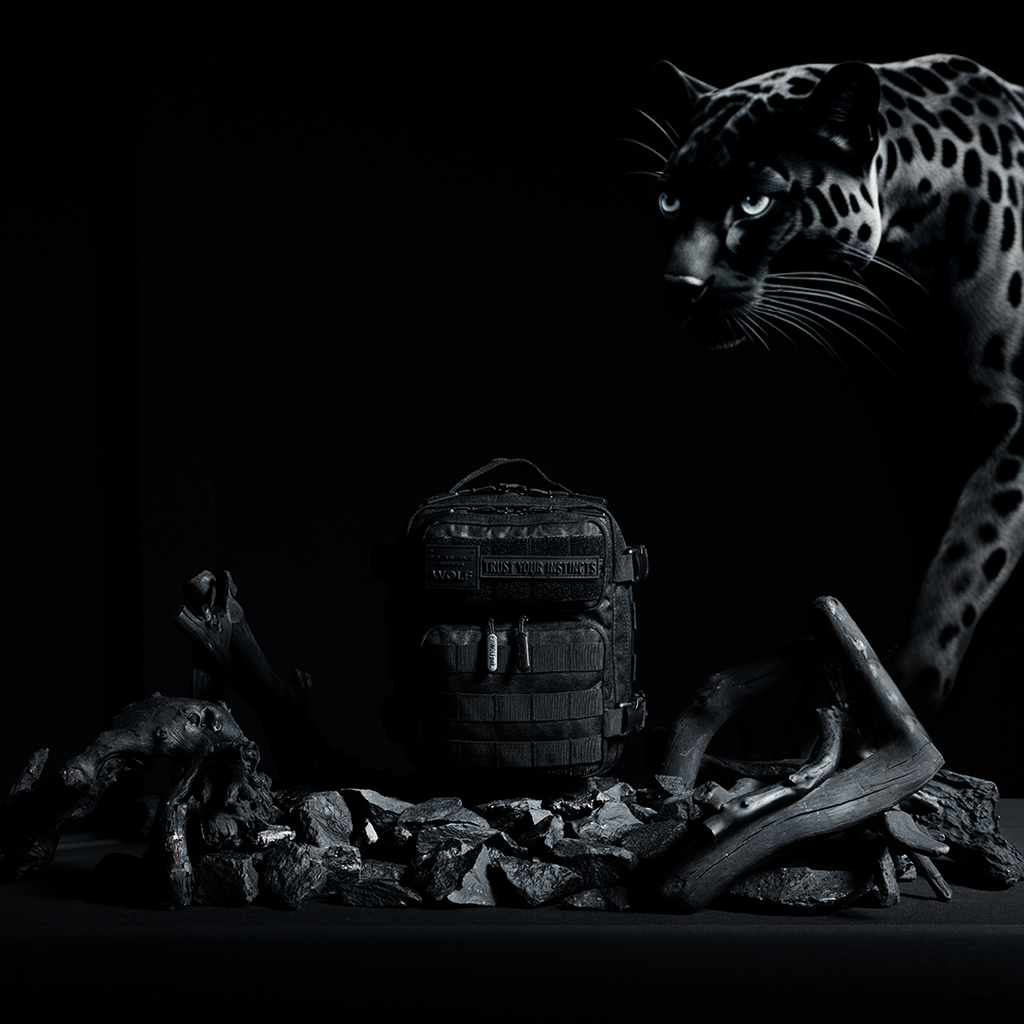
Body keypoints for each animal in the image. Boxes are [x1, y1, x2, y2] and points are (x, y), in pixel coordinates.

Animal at [631, 54, 1023, 720]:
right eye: (668, 199)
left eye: (755, 203)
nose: (679, 287)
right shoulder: (916, 436)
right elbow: (938, 551)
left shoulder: (1012, 427)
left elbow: (967, 555)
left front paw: (908, 689)